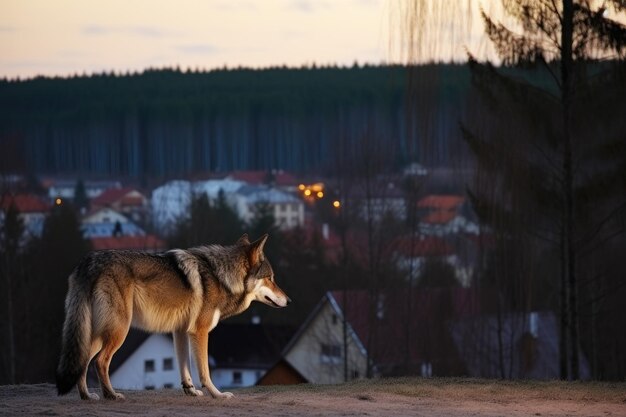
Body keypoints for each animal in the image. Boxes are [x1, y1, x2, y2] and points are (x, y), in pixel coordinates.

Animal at [54, 234, 288, 400]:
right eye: (270, 278)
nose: (289, 300)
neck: (222, 277)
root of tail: (88, 262)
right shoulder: (200, 331)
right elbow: (204, 371)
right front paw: (218, 395)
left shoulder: (181, 331)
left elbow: (184, 367)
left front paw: (191, 391)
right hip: (118, 332)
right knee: (101, 361)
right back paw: (111, 395)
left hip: (97, 334)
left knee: (83, 361)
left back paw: (87, 396)